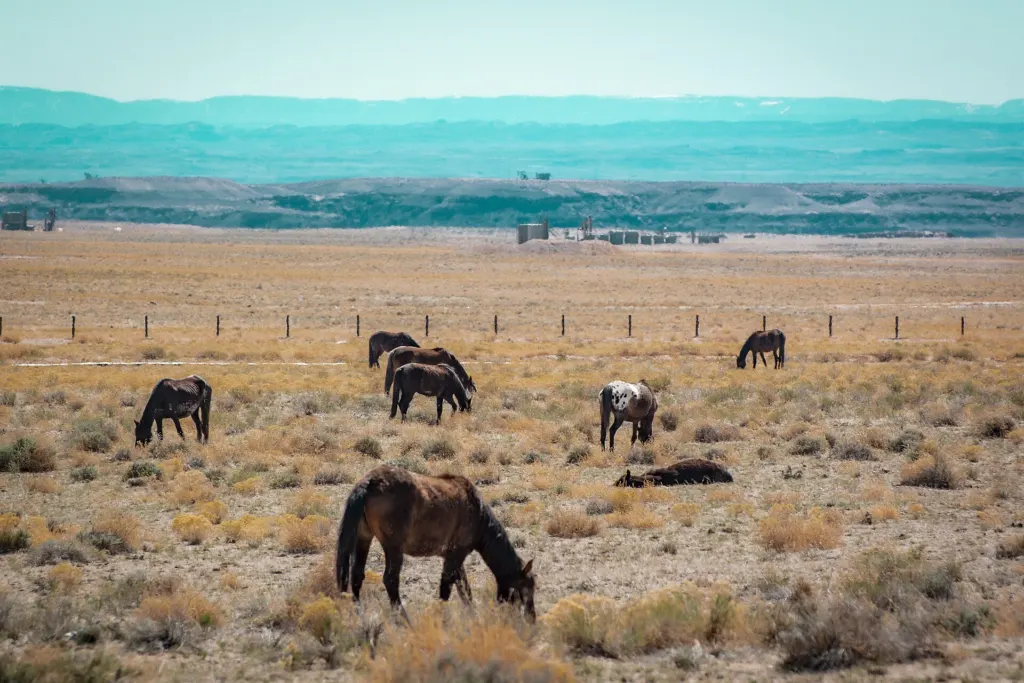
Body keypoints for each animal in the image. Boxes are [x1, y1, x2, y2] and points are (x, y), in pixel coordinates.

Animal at [336, 465, 536, 622]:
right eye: (527, 588)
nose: (531, 619)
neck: (478, 514)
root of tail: (368, 482)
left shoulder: (453, 557)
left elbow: (464, 590)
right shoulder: (456, 554)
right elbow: (446, 589)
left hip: (364, 538)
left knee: (357, 575)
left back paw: (360, 615)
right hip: (393, 548)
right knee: (390, 580)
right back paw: (405, 621)